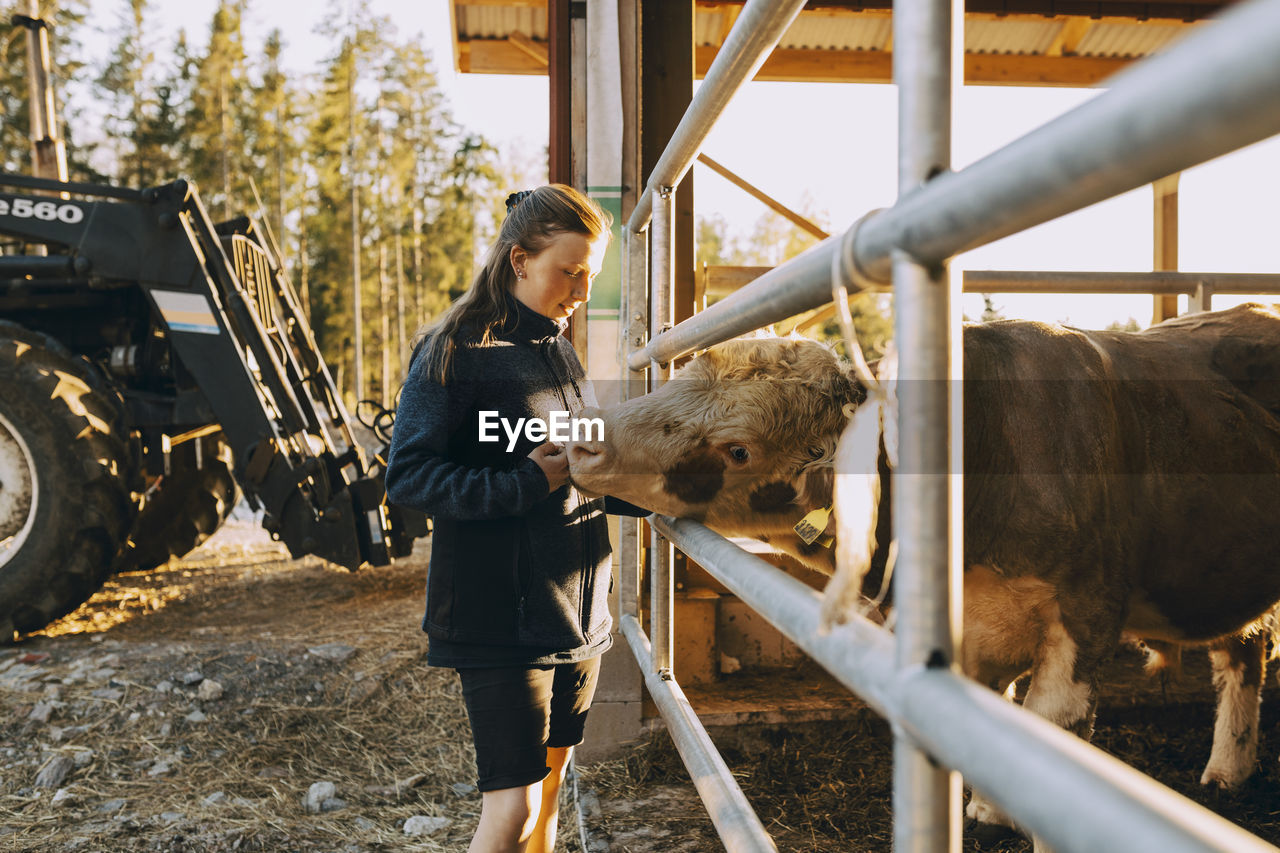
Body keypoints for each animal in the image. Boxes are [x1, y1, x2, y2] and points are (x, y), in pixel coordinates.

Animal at [568, 303, 1280, 829]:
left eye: (739, 450)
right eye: (681, 378)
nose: (584, 445)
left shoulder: (1085, 621)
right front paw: (988, 811)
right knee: (1241, 651)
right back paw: (1227, 770)